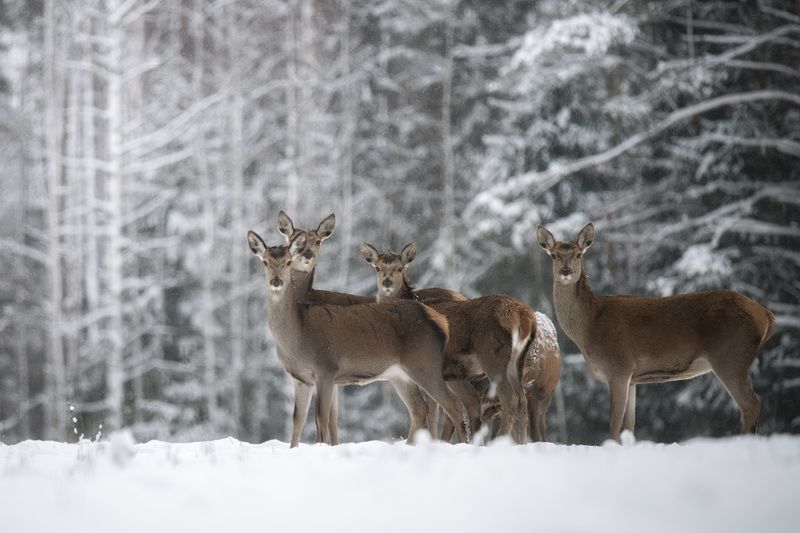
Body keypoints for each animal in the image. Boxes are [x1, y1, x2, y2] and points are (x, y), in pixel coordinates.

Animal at [248, 229, 469, 447]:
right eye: (265, 262)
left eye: (288, 262)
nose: (276, 281)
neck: (297, 337)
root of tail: (441, 320)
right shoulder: (300, 378)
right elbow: (298, 421)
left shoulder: (326, 368)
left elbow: (321, 419)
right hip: (400, 374)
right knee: (420, 409)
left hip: (425, 362)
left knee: (453, 404)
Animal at [360, 241, 539, 442]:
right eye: (377, 267)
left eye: (400, 268)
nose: (387, 283)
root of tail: (524, 316)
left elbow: (432, 412)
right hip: (518, 361)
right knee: (523, 400)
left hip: (493, 358)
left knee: (510, 399)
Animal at [536, 222, 775, 442]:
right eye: (554, 255)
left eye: (578, 254)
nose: (565, 271)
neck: (589, 328)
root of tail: (765, 316)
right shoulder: (632, 378)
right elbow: (629, 425)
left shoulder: (619, 367)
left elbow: (614, 423)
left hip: (730, 356)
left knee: (750, 404)